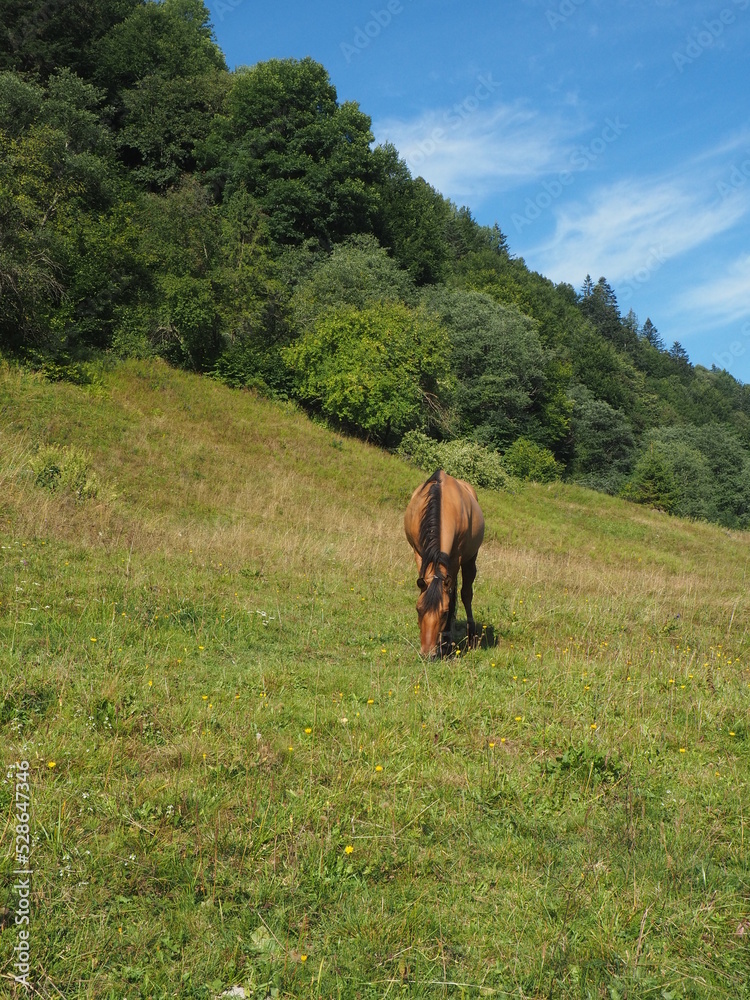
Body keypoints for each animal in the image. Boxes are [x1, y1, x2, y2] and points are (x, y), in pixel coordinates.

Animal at [404, 469, 485, 657]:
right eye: (418, 609)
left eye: (444, 613)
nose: (427, 653)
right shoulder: (419, 553)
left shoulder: (455, 559)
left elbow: (453, 594)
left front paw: (446, 641)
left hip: (470, 559)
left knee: (466, 594)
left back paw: (471, 636)